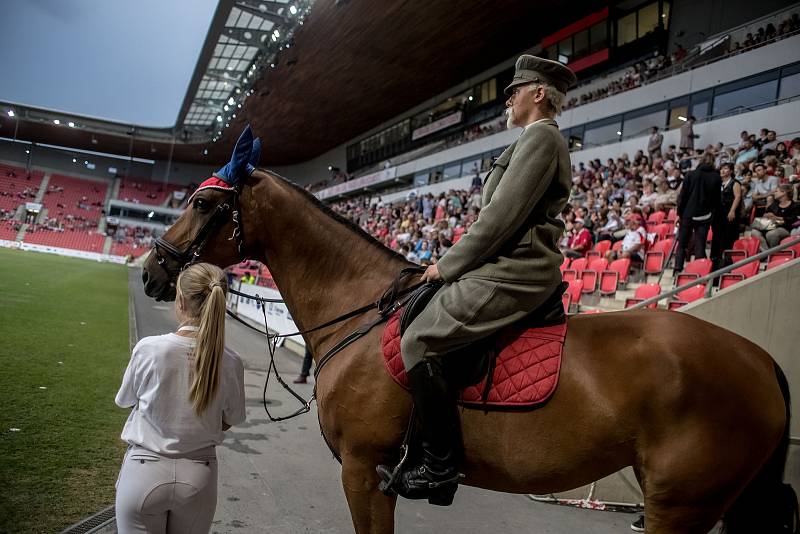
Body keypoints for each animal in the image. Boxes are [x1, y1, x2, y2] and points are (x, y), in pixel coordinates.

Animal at [144, 171, 792, 534]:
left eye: (203, 204)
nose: (153, 270)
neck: (361, 312)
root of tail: (760, 359)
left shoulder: (364, 471)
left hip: (680, 504)